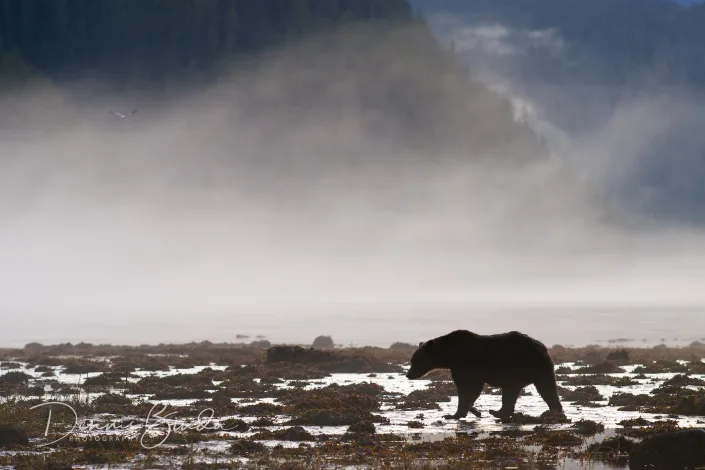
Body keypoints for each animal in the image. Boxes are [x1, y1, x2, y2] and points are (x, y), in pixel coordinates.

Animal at [406, 330, 563, 420]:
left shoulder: (464, 364)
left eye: (415, 360)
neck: (449, 355)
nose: (408, 375)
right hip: (533, 369)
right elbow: (473, 390)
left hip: (524, 365)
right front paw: (475, 411)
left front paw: (452, 415)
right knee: (541, 388)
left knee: (542, 388)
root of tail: (542, 347)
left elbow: (466, 389)